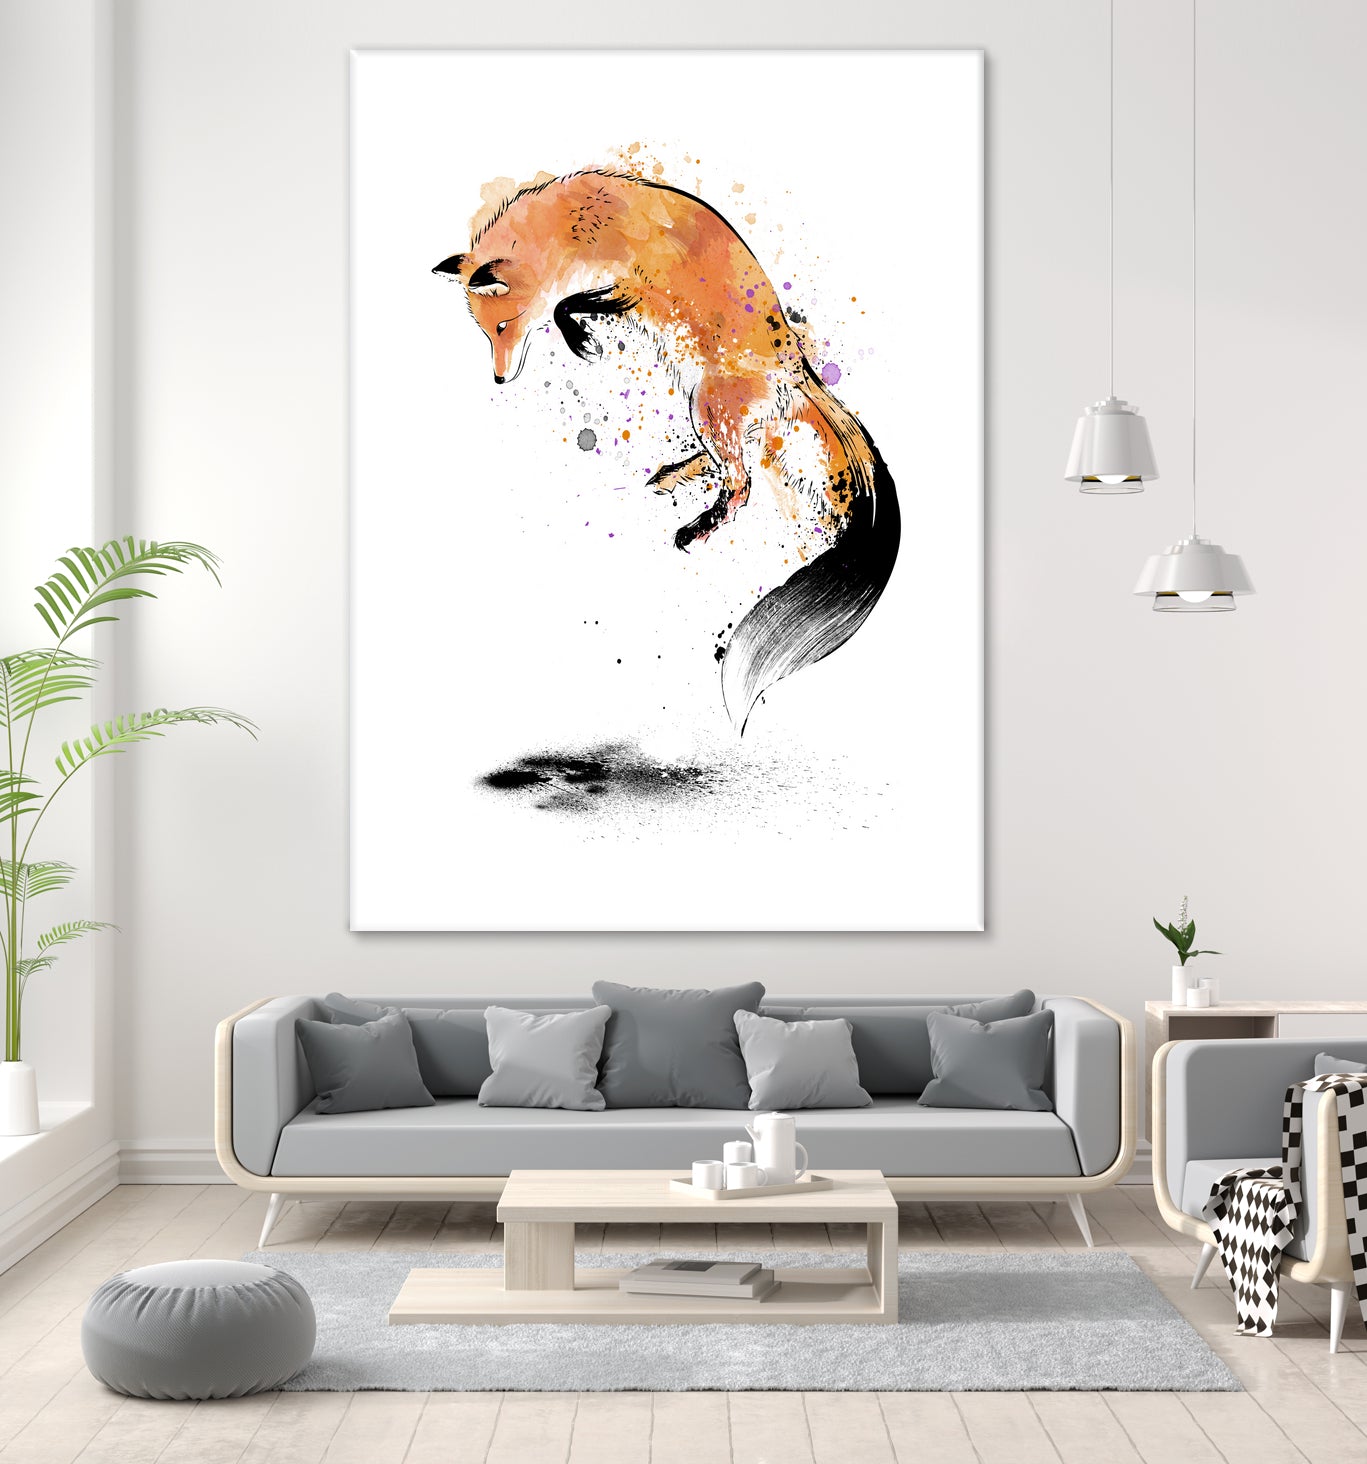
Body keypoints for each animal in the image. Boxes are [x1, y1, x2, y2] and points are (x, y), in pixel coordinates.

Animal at [433, 169, 900, 733]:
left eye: (502, 327)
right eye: (486, 333)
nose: (500, 380)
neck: (582, 223)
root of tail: (793, 362)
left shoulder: (629, 284)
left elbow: (567, 305)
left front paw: (578, 337)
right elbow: (568, 303)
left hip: (706, 404)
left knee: (741, 487)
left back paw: (695, 528)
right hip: (702, 405)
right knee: (731, 464)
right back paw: (674, 474)